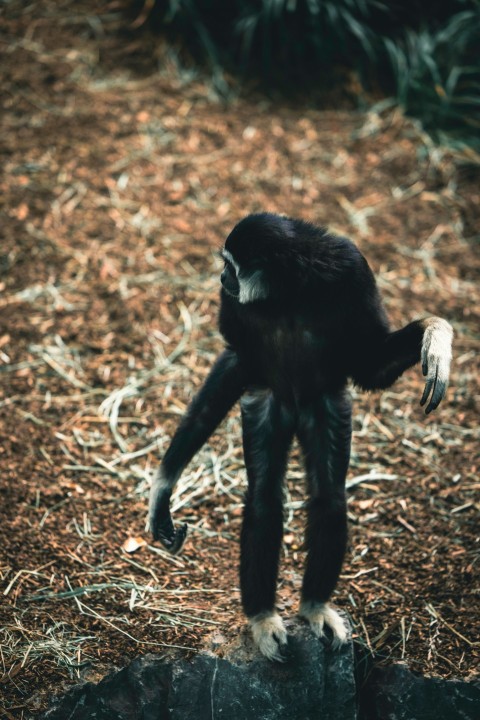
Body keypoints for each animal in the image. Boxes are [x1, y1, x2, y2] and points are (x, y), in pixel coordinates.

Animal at [147, 214, 454, 664]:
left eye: (230, 266)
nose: (221, 277)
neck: (288, 291)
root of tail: (294, 407)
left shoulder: (353, 271)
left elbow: (369, 365)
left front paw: (435, 333)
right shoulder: (238, 320)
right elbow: (237, 359)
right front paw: (164, 486)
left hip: (324, 404)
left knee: (329, 493)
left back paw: (313, 607)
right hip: (268, 405)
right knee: (264, 497)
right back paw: (263, 619)